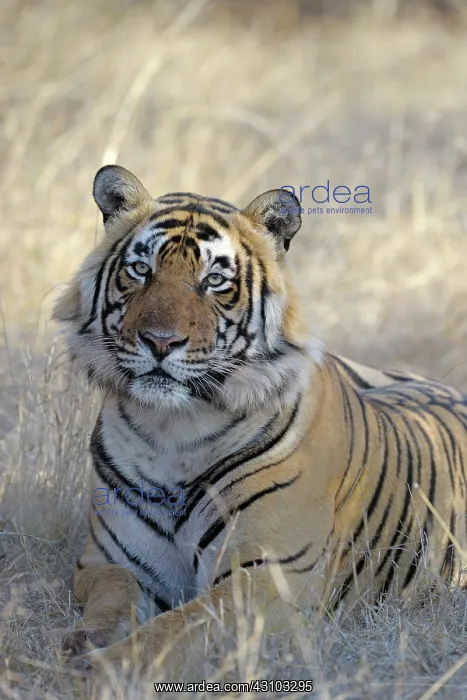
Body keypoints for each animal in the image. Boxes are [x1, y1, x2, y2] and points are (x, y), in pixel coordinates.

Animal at [54, 164, 467, 671]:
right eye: (141, 270)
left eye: (214, 280)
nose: (159, 341)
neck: (172, 432)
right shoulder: (107, 561)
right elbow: (113, 601)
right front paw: (82, 643)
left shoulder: (269, 579)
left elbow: (176, 629)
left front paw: (107, 668)